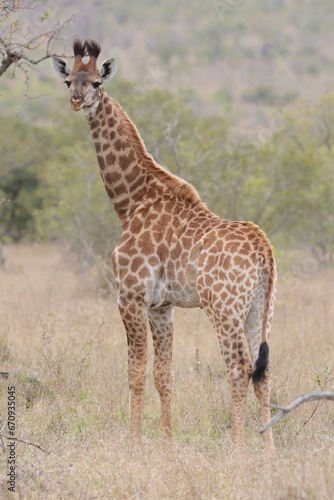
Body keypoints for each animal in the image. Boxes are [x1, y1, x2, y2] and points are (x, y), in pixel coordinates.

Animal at [52, 40, 276, 454]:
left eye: (95, 82)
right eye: (67, 79)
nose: (76, 100)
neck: (131, 201)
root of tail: (263, 249)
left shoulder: (129, 295)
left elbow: (136, 371)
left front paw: (133, 444)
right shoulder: (162, 306)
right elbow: (164, 374)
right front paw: (168, 444)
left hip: (223, 307)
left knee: (238, 366)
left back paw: (238, 449)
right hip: (259, 307)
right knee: (262, 368)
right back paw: (269, 451)